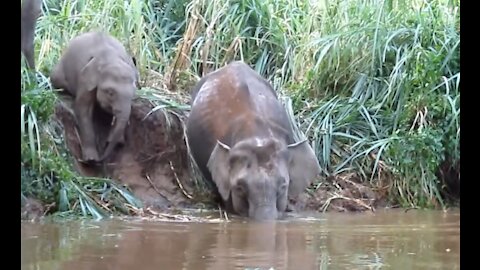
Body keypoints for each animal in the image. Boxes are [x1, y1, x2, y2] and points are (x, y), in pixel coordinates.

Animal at [51, 30, 141, 163]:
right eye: (110, 92)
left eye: (133, 94)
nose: (101, 159)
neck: (110, 58)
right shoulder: (85, 80)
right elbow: (83, 109)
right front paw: (91, 159)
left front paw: (116, 140)